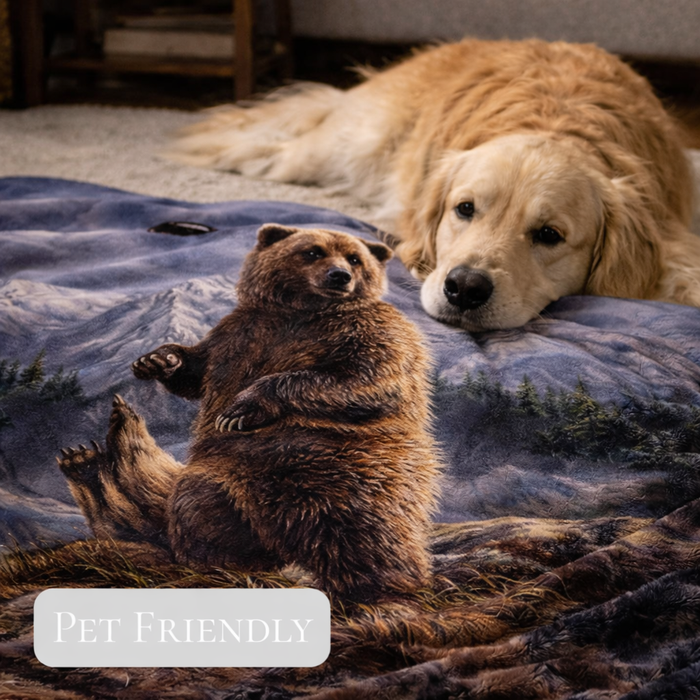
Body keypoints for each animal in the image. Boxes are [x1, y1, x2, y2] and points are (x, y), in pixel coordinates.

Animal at [58, 224, 442, 602]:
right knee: (198, 508)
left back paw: (385, 586)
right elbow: (197, 370)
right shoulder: (237, 333)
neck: (302, 312)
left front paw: (241, 409)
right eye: (313, 251)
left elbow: (366, 379)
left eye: (355, 258)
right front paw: (156, 359)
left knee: (365, 532)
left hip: (352, 474)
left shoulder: (369, 331)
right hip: (226, 477)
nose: (340, 276)